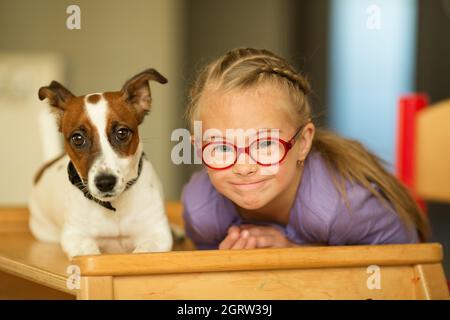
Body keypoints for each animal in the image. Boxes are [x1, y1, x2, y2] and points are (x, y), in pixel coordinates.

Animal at [28, 68, 172, 260]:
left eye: (122, 132)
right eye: (77, 138)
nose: (105, 182)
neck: (114, 207)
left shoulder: (158, 234)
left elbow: (144, 252)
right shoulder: (75, 237)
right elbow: (89, 252)